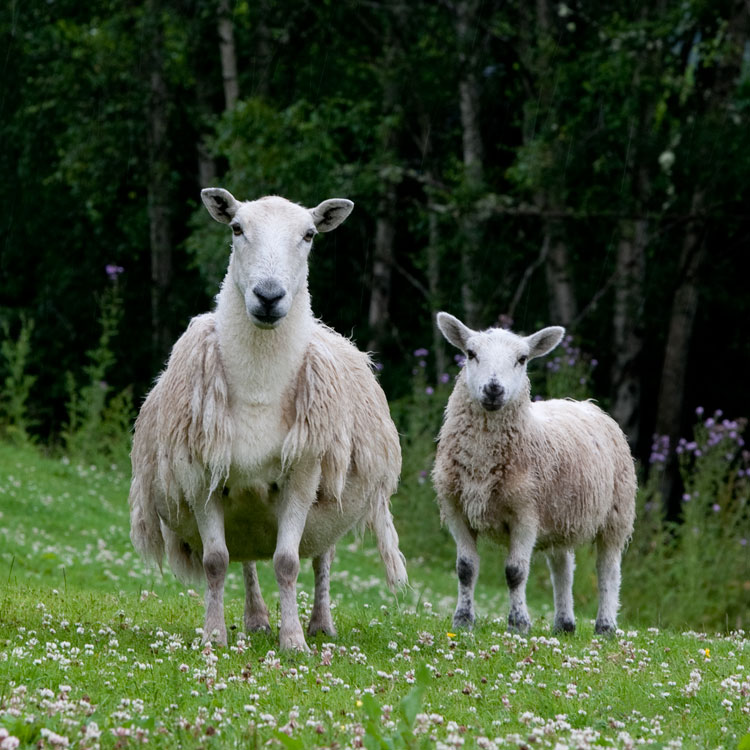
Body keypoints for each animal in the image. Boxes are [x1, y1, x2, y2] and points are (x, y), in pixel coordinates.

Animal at [129, 189, 407, 651]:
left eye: (309, 234)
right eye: (237, 228)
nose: (269, 295)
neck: (259, 390)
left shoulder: (304, 473)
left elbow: (288, 562)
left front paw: (293, 640)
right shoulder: (202, 475)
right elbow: (216, 562)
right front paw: (213, 635)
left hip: (328, 497)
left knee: (322, 557)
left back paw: (320, 624)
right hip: (246, 508)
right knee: (245, 556)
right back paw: (257, 618)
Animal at [432, 312, 636, 635]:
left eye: (522, 359)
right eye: (471, 353)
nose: (493, 389)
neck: (482, 463)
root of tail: (586, 405)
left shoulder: (525, 512)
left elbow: (515, 572)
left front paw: (518, 623)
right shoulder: (456, 509)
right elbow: (465, 569)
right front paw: (463, 620)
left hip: (617, 512)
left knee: (608, 569)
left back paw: (605, 626)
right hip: (560, 514)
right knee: (563, 568)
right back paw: (564, 624)